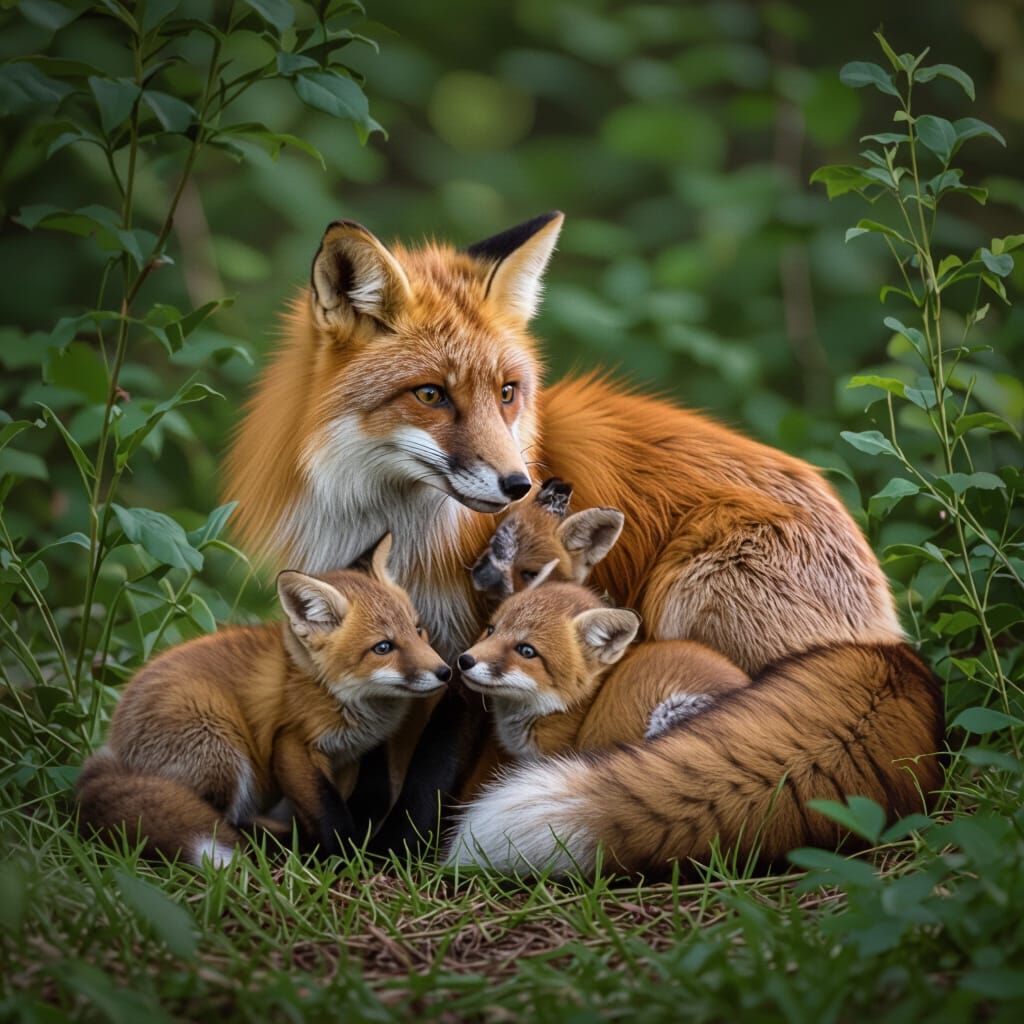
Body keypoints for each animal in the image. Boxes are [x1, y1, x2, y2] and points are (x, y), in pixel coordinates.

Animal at [76, 537, 451, 866]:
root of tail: (113, 753)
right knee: (223, 819)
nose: (445, 671)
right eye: (383, 647)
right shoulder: (292, 744)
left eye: (418, 630)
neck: (332, 691)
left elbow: (338, 804)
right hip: (224, 755)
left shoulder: (346, 759)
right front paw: (343, 856)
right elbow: (326, 810)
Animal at [224, 212, 946, 873]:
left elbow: (432, 769)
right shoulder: (389, 642)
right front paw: (360, 833)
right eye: (430, 394)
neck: (395, 528)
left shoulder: (472, 648)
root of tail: (891, 648)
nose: (522, 484)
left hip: (690, 591)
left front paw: (403, 849)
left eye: (507, 393)